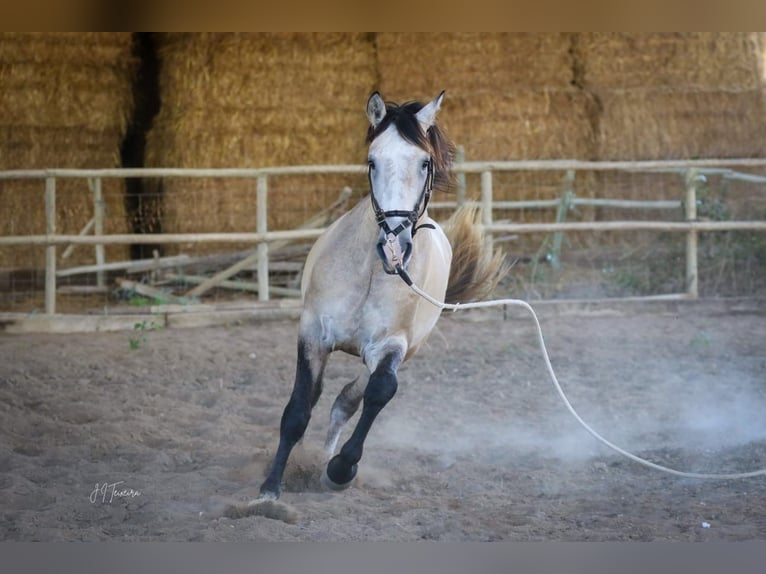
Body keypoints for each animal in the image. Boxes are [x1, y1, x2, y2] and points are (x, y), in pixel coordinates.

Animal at [260, 92, 510, 502]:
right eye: (372, 161)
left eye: (424, 162)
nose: (395, 244)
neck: (369, 274)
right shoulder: (312, 334)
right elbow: (297, 409)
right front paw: (269, 487)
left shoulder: (391, 346)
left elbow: (379, 392)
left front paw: (340, 469)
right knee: (323, 398)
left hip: (399, 352)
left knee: (348, 399)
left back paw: (324, 461)